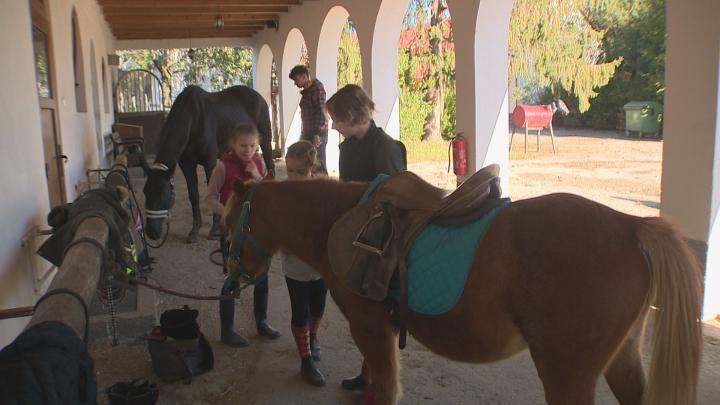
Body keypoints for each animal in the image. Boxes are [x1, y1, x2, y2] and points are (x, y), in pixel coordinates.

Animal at [143, 85, 272, 241]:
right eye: (145, 192)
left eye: (163, 194)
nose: (151, 232)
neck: (192, 118)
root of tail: (259, 97)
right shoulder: (186, 164)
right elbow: (193, 195)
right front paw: (194, 230)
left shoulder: (209, 162)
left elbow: (214, 192)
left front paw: (215, 229)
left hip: (265, 141)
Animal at [224, 178, 704, 402]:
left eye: (230, 222)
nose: (229, 281)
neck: (337, 222)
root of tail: (631, 225)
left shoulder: (371, 329)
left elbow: (384, 389)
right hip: (622, 359)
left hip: (568, 375)